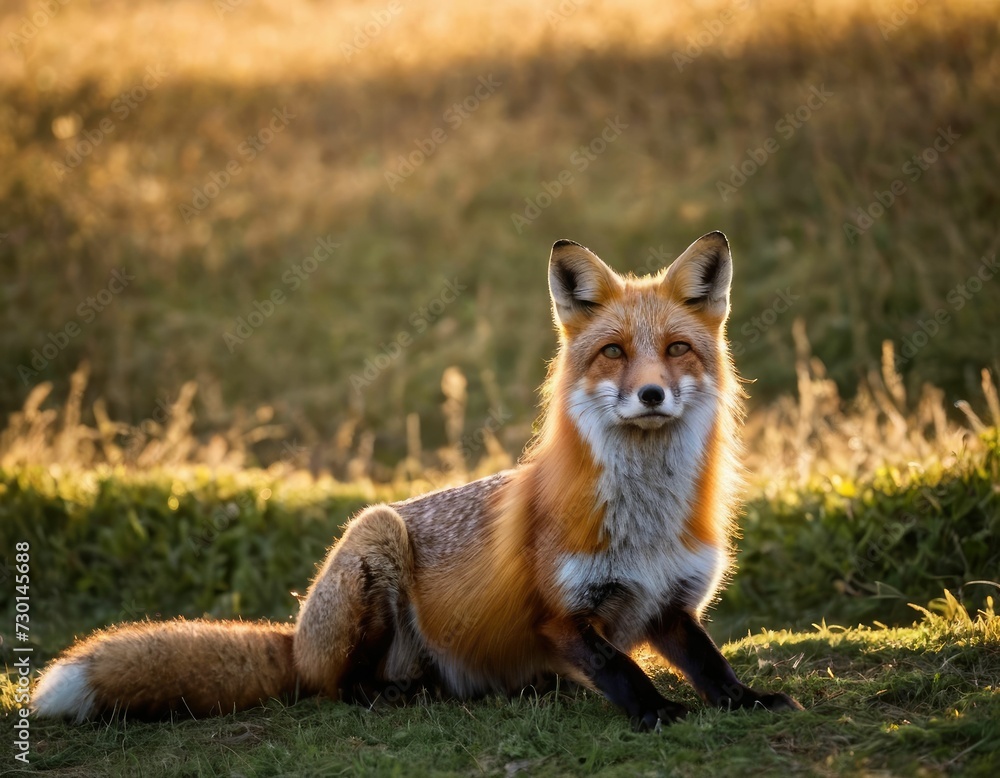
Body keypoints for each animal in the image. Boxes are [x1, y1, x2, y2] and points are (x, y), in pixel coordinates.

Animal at [31, 230, 800, 728]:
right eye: (613, 352)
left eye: (676, 349)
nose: (651, 394)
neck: (645, 521)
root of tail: (296, 638)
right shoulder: (558, 613)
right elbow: (622, 668)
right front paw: (657, 712)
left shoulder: (669, 604)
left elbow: (710, 662)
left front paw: (747, 701)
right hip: (375, 540)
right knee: (337, 688)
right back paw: (391, 696)